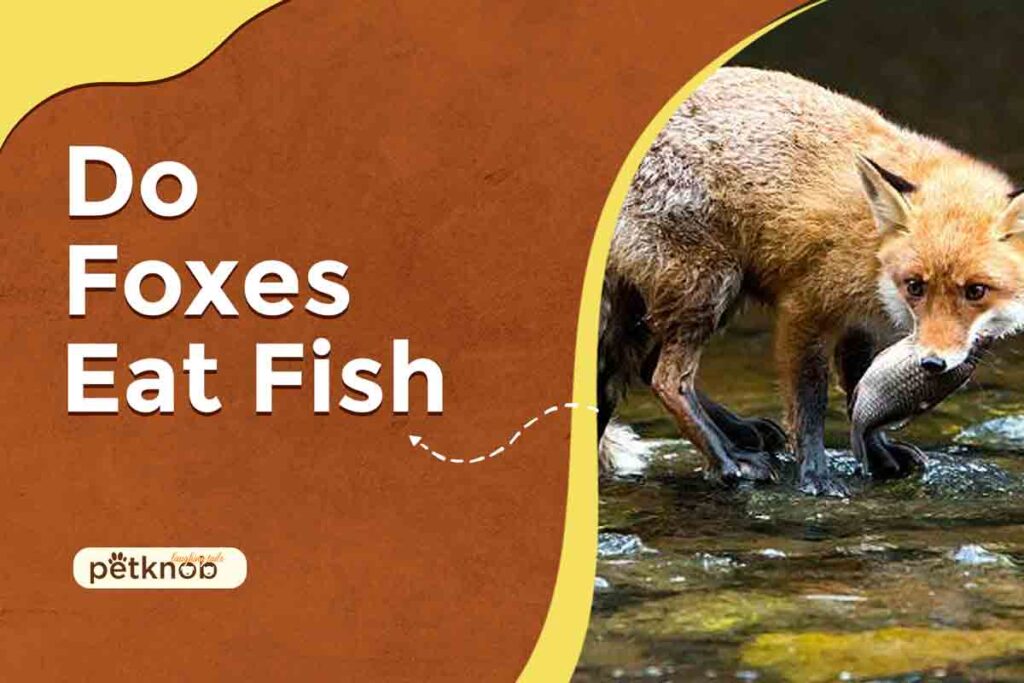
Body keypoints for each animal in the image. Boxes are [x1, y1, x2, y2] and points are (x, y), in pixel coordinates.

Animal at [598, 67, 1024, 496]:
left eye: (976, 291)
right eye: (915, 286)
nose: (933, 363)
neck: (871, 243)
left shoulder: (860, 322)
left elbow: (857, 388)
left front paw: (877, 451)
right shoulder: (804, 308)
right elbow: (809, 404)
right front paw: (815, 475)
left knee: (645, 366)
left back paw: (742, 432)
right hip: (712, 285)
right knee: (667, 380)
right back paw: (728, 459)